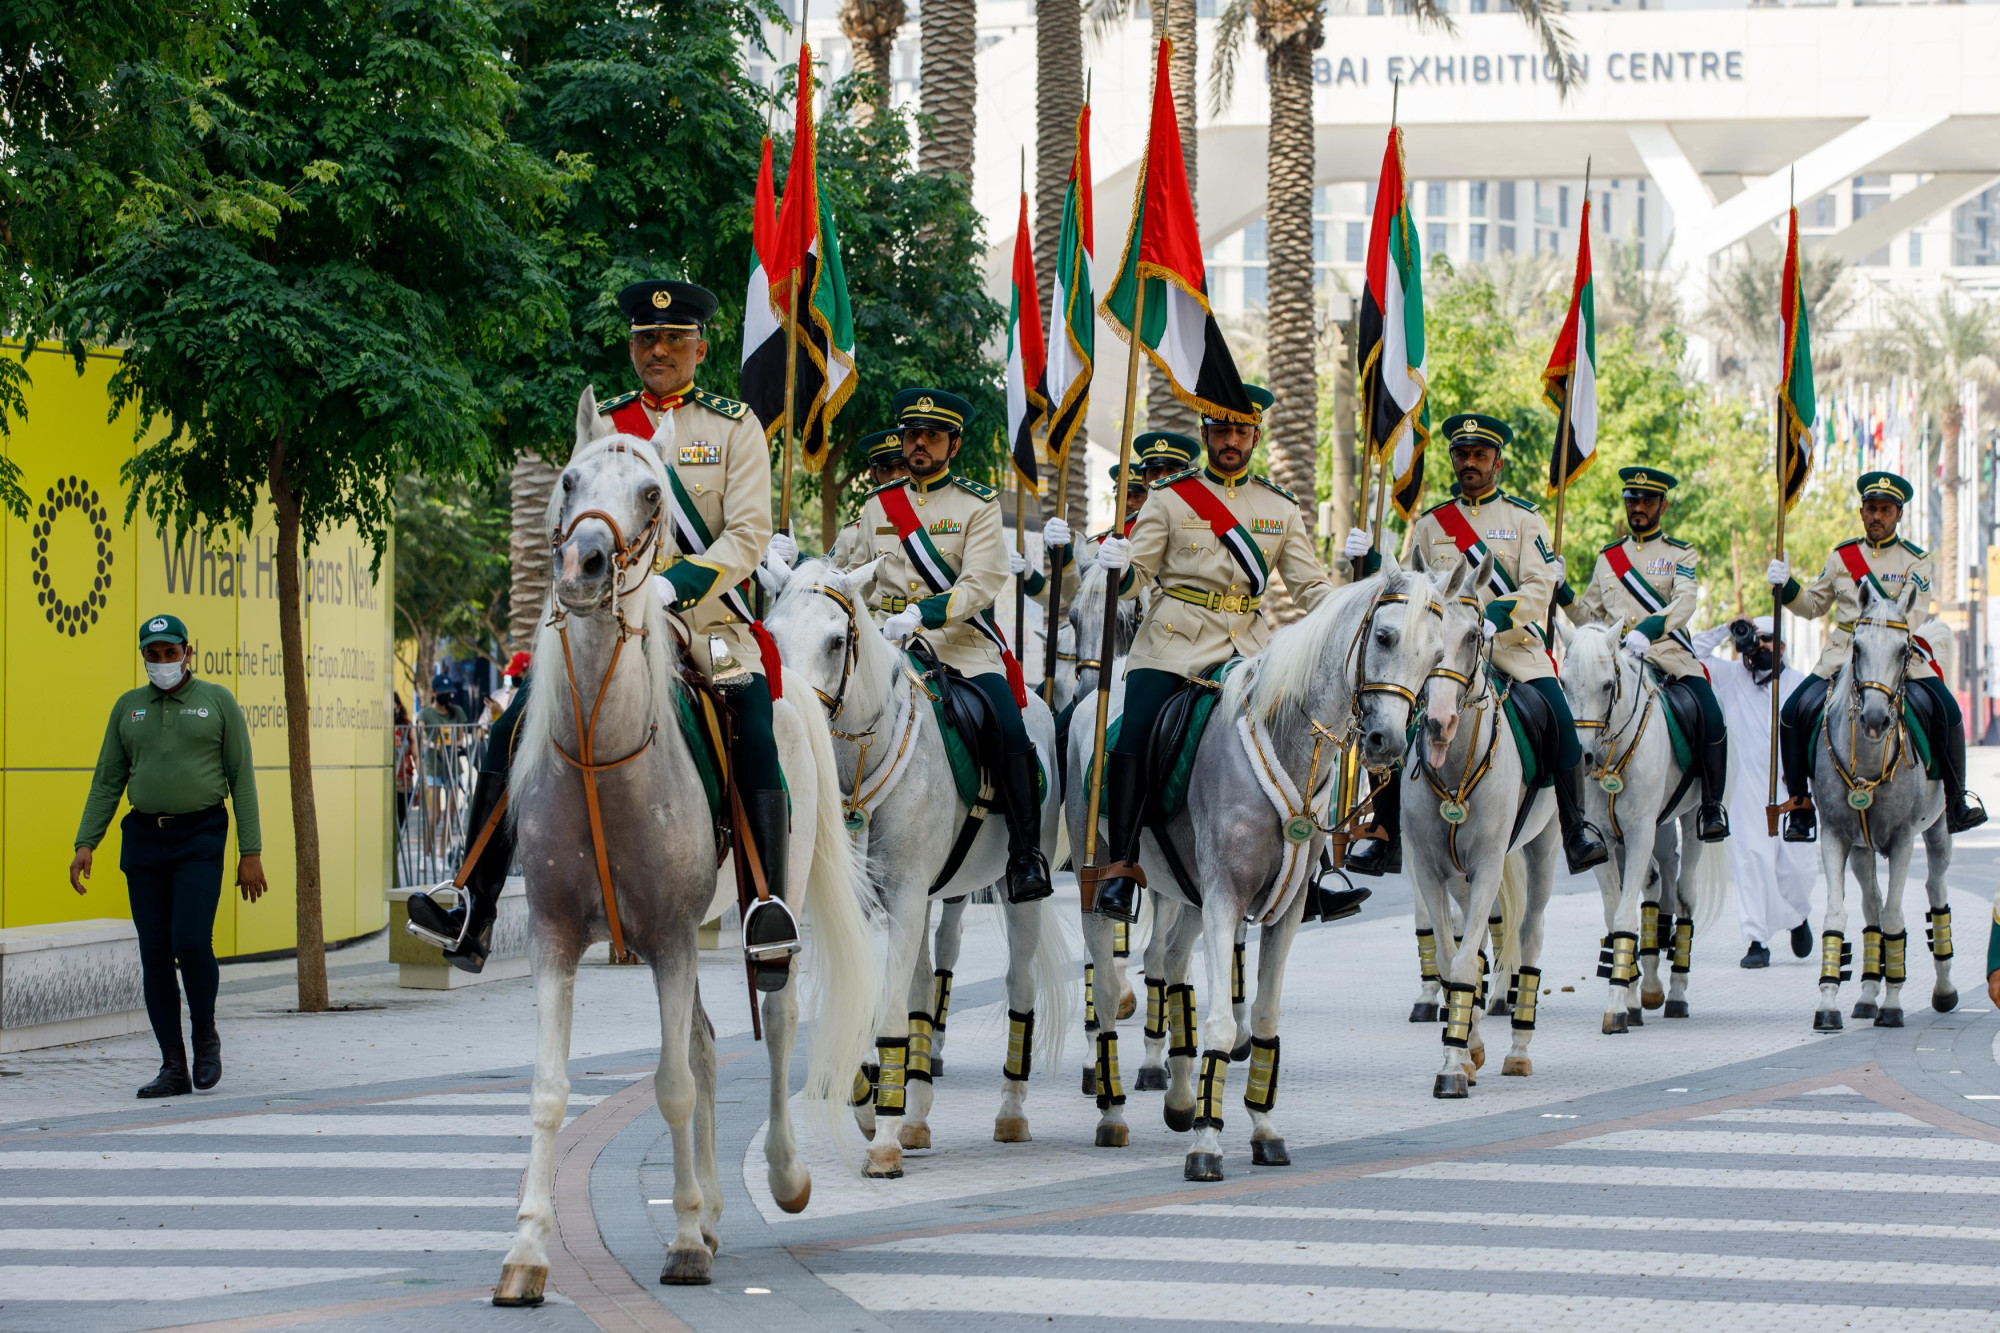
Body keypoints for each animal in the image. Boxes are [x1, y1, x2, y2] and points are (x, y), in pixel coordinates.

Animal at [492, 402, 876, 1296]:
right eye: (568, 479)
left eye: (649, 494)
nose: (584, 566)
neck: (601, 751)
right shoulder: (556, 937)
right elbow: (552, 1089)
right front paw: (527, 1249)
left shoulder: (668, 937)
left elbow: (670, 1083)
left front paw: (683, 1242)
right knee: (702, 1041)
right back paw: (708, 1208)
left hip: (772, 893)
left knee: (776, 1016)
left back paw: (781, 1176)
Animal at [764, 556, 1080, 1168]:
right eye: (771, 635)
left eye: (836, 641)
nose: (794, 726)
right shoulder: (866, 904)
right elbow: (871, 998)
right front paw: (870, 1103)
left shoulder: (907, 897)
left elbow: (887, 1010)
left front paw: (883, 1140)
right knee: (920, 990)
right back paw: (914, 1113)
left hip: (1015, 894)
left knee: (1019, 987)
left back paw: (1009, 1112)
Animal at [1560, 624, 1720, 1024]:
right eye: (1564, 683)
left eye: (1606, 685)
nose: (1583, 757)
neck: (1613, 754)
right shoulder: (1605, 841)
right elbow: (1615, 912)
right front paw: (1628, 996)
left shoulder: (1639, 833)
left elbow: (1623, 915)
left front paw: (1617, 1006)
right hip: (1656, 831)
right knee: (1655, 884)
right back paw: (1648, 988)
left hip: (1686, 823)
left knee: (1684, 895)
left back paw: (1676, 993)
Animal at [1816, 580, 1952, 1024]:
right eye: (1856, 647)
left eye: (1903, 651)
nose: (1876, 719)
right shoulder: (1835, 836)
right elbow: (1839, 913)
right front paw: (1828, 1003)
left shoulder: (1904, 840)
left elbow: (1895, 916)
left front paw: (1892, 1005)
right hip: (1862, 848)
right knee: (1871, 905)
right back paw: (1866, 993)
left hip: (1939, 832)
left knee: (1934, 889)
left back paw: (1944, 989)